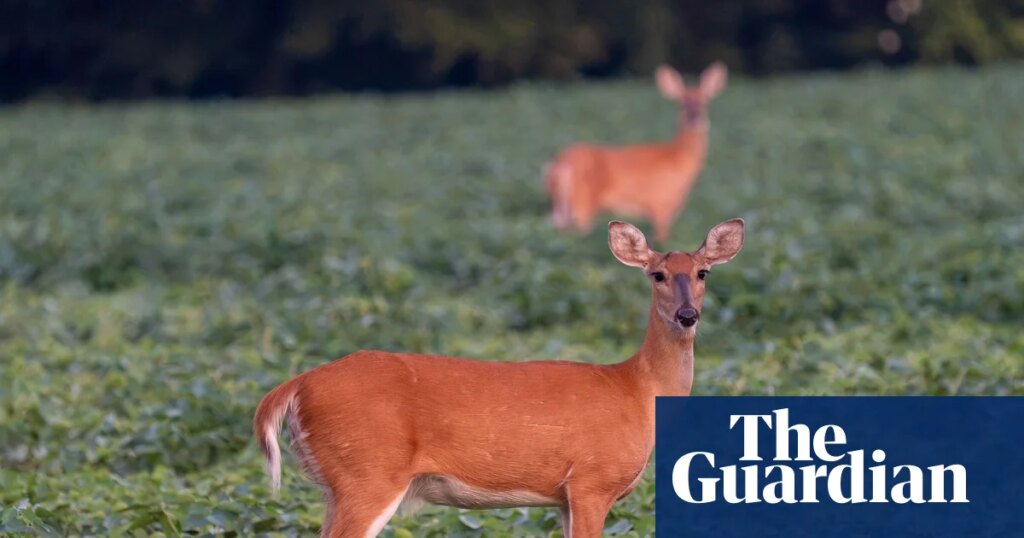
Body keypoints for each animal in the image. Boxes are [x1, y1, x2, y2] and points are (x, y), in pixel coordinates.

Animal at [253, 217, 745, 538]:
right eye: (657, 274)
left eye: (702, 272)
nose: (687, 315)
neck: (639, 389)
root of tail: (296, 385)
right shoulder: (592, 481)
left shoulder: (563, 497)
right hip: (367, 471)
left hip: (338, 483)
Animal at [545, 62, 728, 243]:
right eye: (682, 102)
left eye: (705, 100)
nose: (695, 117)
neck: (677, 157)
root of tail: (561, 164)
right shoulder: (661, 204)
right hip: (583, 203)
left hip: (560, 206)